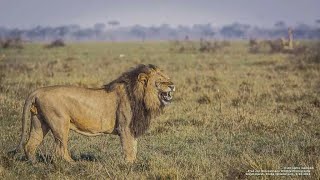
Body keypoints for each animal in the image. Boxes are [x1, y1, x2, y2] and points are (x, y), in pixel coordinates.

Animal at [11, 64, 175, 162]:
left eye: (167, 78)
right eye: (161, 81)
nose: (173, 85)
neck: (142, 97)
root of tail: (37, 91)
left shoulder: (133, 127)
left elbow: (134, 148)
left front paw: (134, 163)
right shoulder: (125, 128)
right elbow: (129, 148)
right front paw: (129, 166)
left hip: (39, 123)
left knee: (30, 145)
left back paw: (34, 163)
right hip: (60, 124)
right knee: (60, 149)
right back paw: (73, 164)